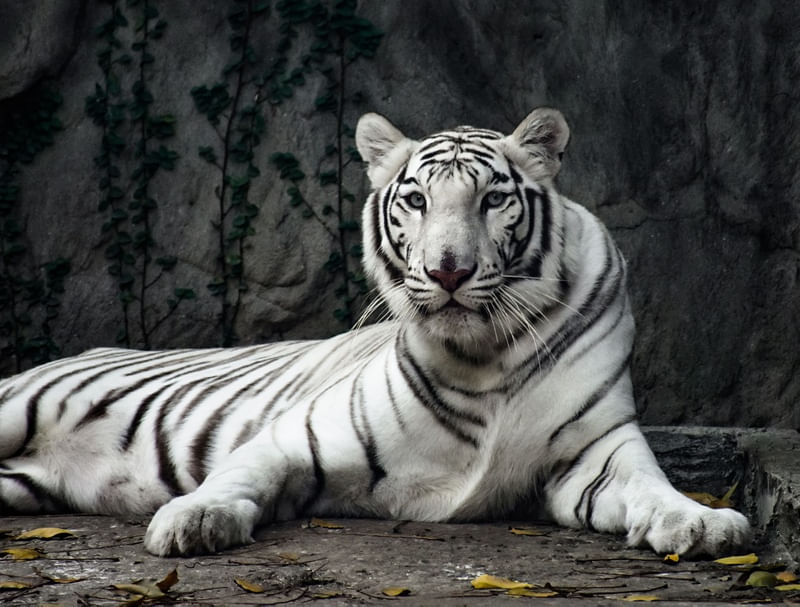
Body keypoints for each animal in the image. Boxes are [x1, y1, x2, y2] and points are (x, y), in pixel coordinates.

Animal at [0, 108, 750, 557]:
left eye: (492, 199)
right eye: (415, 199)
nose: (449, 271)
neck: (487, 356)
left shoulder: (596, 447)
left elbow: (650, 483)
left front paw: (701, 521)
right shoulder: (295, 434)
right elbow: (238, 471)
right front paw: (189, 521)